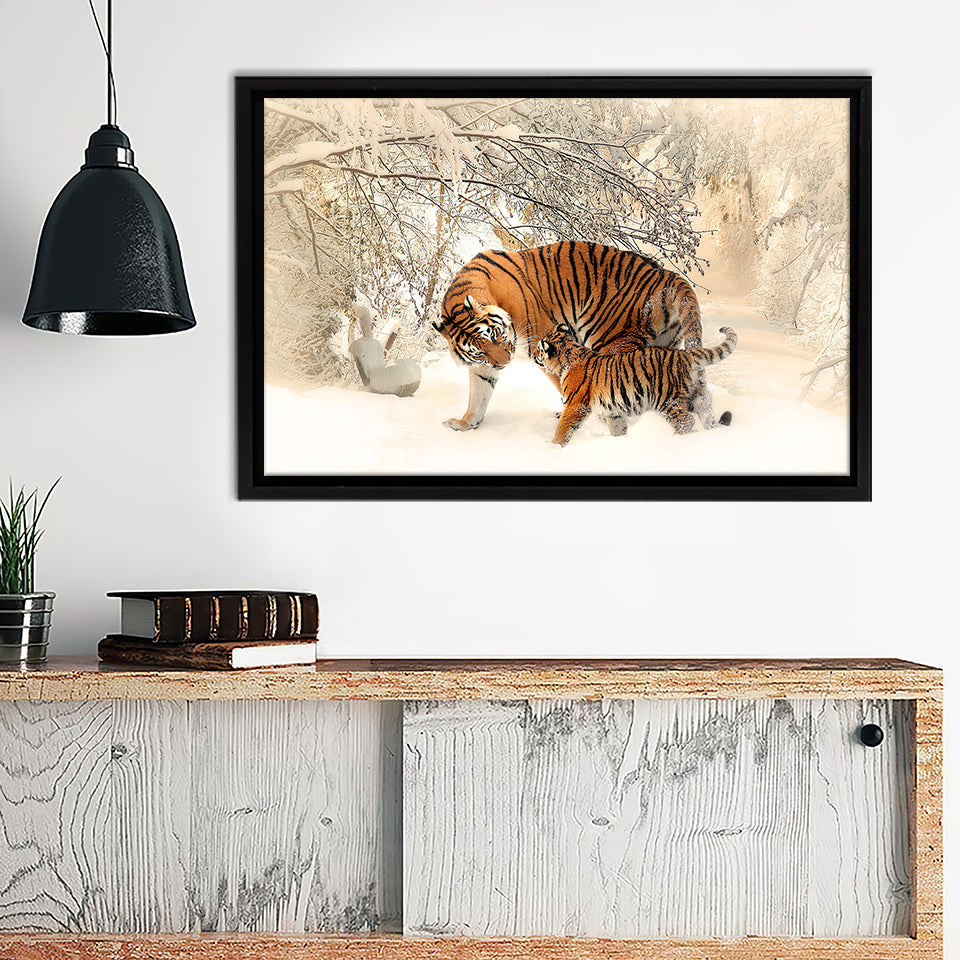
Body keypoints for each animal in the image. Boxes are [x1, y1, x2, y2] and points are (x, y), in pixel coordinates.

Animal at [432, 241, 704, 432]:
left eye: (497, 335)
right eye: (480, 351)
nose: (505, 363)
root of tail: (668, 275)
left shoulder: (542, 340)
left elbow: (563, 381)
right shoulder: (483, 366)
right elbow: (478, 394)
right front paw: (465, 423)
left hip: (610, 340)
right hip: (663, 345)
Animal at [533, 323, 737, 447]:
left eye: (539, 350)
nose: (534, 355)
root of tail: (685, 354)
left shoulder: (576, 405)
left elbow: (563, 428)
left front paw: (553, 447)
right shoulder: (612, 410)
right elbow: (617, 427)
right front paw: (620, 441)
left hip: (667, 400)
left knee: (686, 421)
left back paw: (674, 440)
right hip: (698, 396)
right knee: (707, 415)